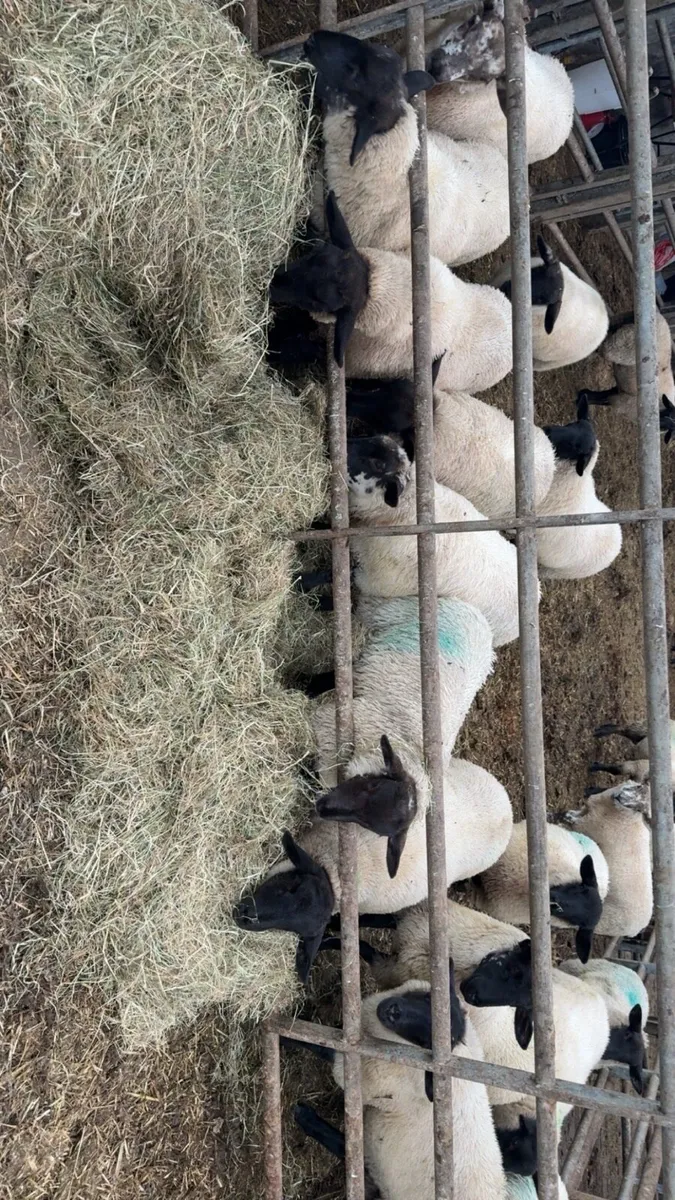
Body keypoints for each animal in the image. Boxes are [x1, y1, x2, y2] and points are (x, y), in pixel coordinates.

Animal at [557, 781, 653, 938]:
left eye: (640, 809)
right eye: (638, 786)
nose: (620, 797)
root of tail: (639, 928)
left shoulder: (587, 824)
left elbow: (571, 820)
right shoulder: (588, 810)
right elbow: (571, 814)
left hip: (604, 918)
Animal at [579, 311, 675, 440]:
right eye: (667, 415)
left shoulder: (620, 392)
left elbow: (597, 397)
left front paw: (581, 397)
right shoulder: (623, 403)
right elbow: (601, 399)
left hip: (621, 322)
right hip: (623, 344)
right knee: (603, 348)